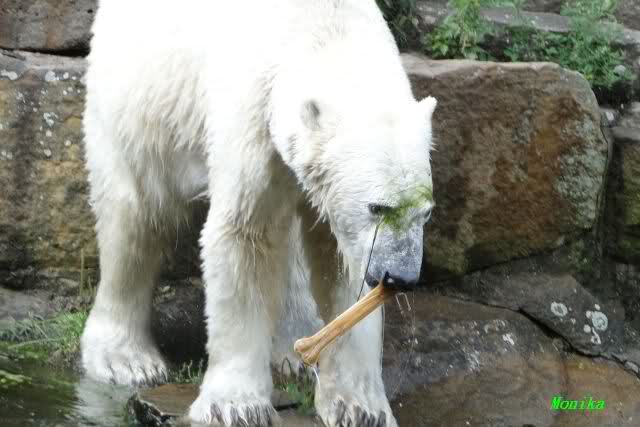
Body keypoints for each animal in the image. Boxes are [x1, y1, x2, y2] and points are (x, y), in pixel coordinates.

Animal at [80, 1, 437, 426]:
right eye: (378, 206)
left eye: (425, 213)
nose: (399, 277)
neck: (325, 27)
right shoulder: (254, 120)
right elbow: (244, 238)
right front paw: (237, 406)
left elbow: (342, 264)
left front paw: (360, 408)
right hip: (141, 95)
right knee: (135, 213)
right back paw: (125, 359)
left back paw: (293, 352)